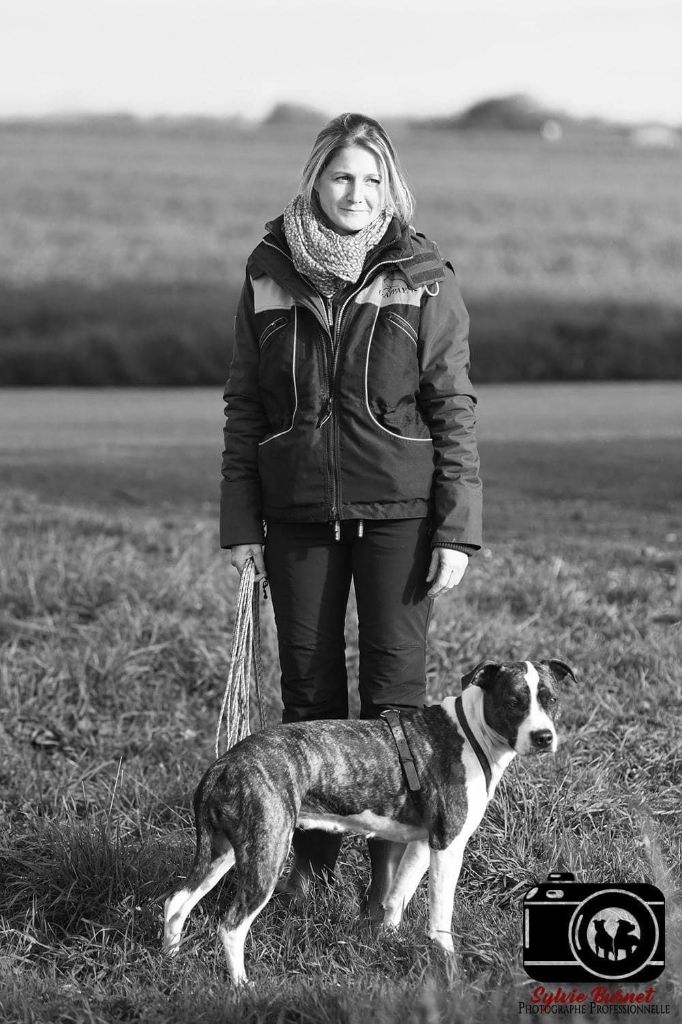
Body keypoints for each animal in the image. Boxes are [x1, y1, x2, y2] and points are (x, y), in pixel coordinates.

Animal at [164, 658, 573, 984]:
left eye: (550, 700)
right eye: (514, 702)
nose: (543, 737)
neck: (471, 734)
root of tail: (223, 764)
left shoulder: (423, 843)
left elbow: (397, 895)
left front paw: (387, 941)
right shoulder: (448, 845)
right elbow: (441, 913)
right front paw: (447, 963)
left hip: (224, 851)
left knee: (177, 902)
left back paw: (170, 960)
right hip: (267, 853)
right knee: (231, 926)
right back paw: (241, 986)